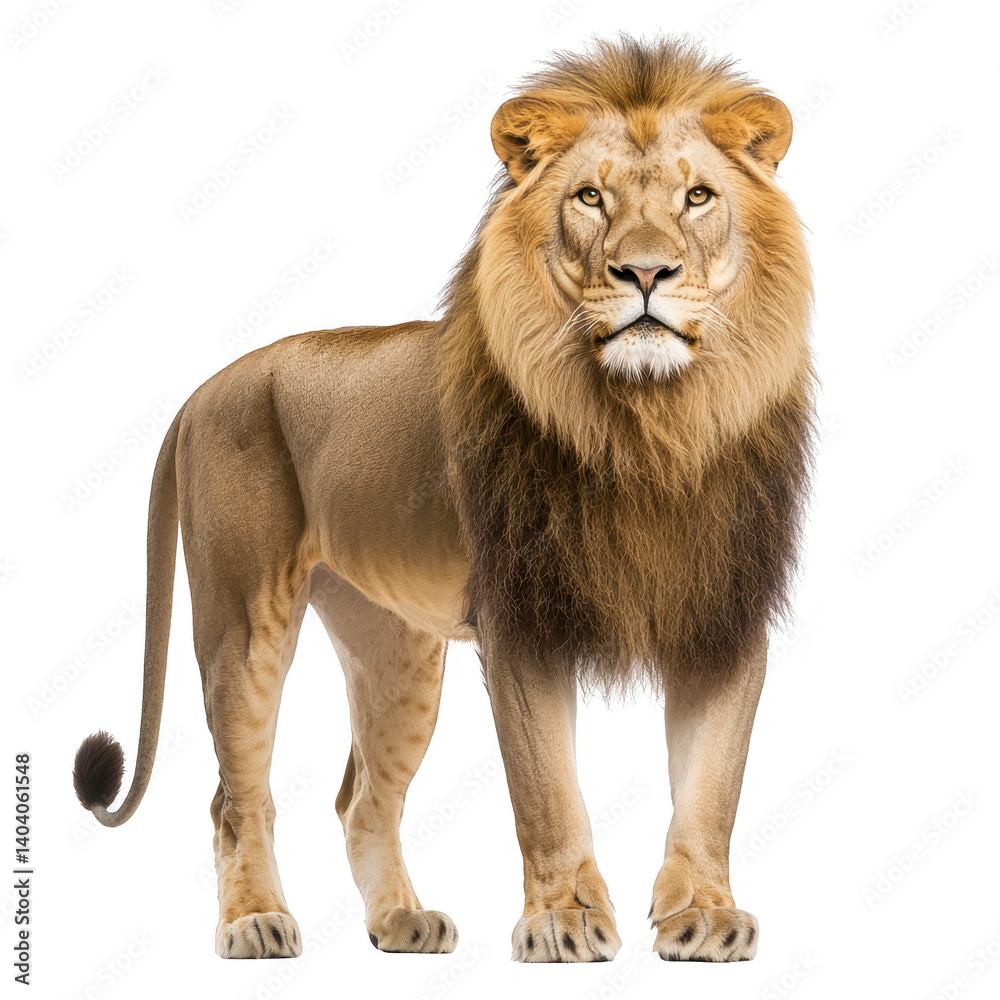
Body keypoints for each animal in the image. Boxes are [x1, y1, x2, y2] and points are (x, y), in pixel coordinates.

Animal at [73, 35, 814, 964]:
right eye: (591, 197)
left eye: (699, 196)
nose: (646, 271)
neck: (652, 426)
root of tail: (204, 388)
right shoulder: (522, 623)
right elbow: (547, 792)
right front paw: (564, 920)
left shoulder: (724, 612)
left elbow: (713, 785)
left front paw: (705, 917)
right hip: (243, 619)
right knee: (234, 797)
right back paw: (253, 922)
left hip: (396, 649)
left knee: (361, 799)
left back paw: (402, 922)